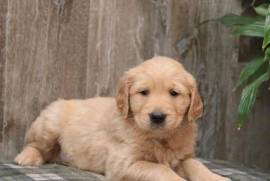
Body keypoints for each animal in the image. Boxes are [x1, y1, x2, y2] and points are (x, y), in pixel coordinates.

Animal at [14, 56, 230, 181]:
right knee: (33, 144)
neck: (160, 138)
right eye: (144, 92)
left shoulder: (182, 157)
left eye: (174, 93)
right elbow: (160, 169)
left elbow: (198, 166)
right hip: (49, 123)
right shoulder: (124, 164)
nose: (157, 116)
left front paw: (217, 178)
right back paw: (27, 158)